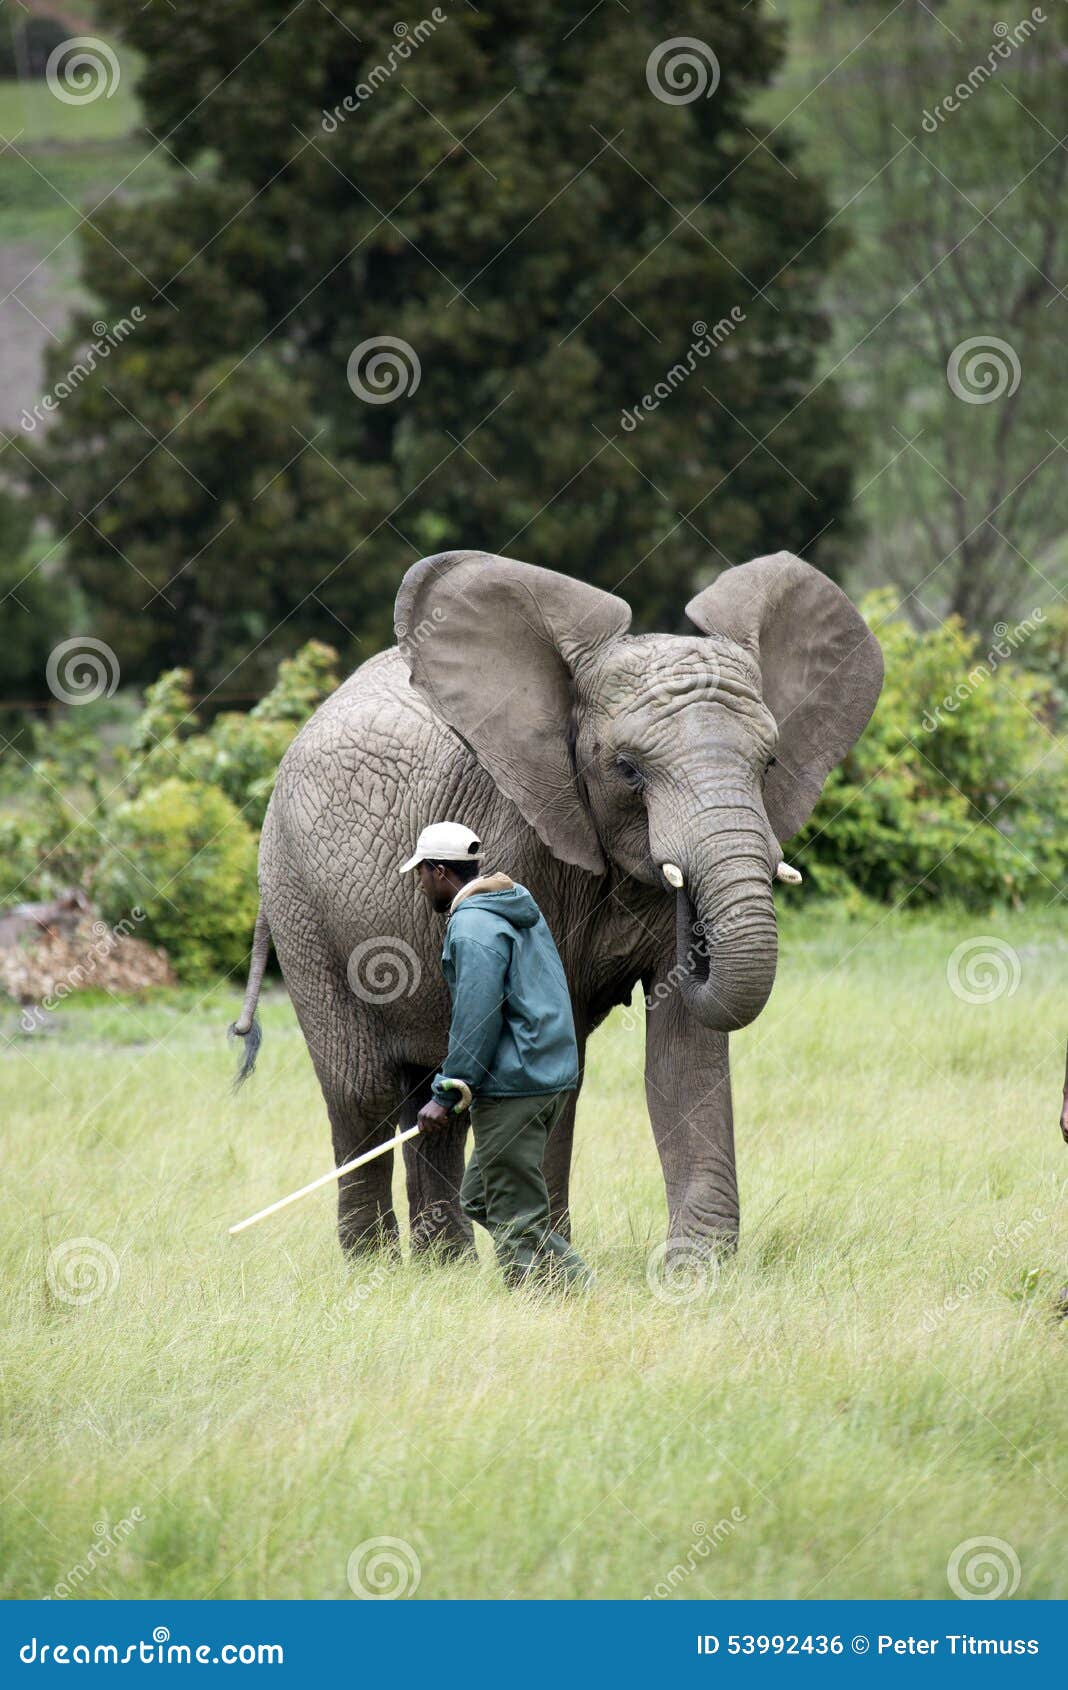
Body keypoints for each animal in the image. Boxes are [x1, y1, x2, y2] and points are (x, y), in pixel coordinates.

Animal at [229, 547, 878, 1264]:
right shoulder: (521, 834)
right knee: (360, 1088)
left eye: (769, 765)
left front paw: (693, 1269)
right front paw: (551, 1265)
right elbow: (550, 1050)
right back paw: (374, 1269)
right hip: (297, 896)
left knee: (432, 1088)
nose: (694, 913)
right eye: (627, 769)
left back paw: (443, 1268)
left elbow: (683, 1052)